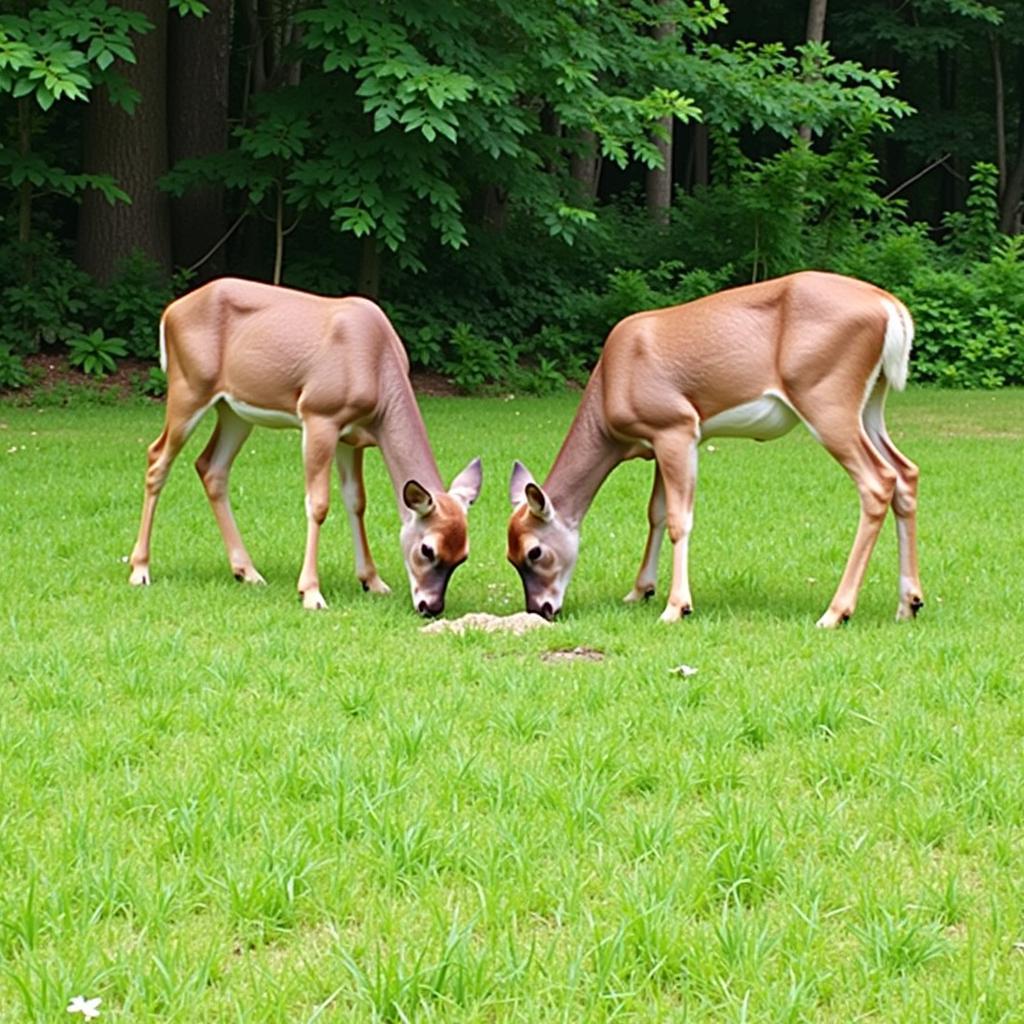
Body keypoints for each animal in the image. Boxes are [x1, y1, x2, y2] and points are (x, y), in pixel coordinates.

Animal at [126, 278, 479, 614]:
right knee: (157, 457)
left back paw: (247, 571)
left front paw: (373, 581)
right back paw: (140, 570)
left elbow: (357, 501)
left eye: (462, 555)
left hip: (234, 410)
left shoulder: (353, 437)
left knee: (211, 467)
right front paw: (311, 593)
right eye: (427, 549)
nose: (430, 607)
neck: (376, 364)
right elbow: (319, 503)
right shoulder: (319, 415)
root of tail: (170, 312)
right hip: (188, 387)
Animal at [507, 268, 925, 626]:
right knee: (906, 471)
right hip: (871, 402)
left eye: (534, 552)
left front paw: (676, 607)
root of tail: (891, 308)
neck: (610, 387)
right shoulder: (660, 441)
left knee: (878, 480)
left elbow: (679, 519)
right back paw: (909, 603)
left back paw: (836, 612)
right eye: (510, 557)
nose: (541, 609)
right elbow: (656, 512)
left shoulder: (675, 426)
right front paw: (640, 591)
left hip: (825, 397)